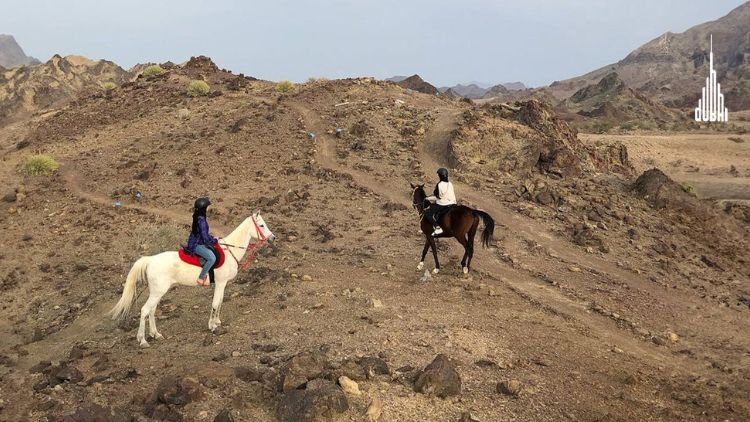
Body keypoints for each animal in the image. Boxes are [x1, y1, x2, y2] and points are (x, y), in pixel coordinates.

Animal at [108, 211, 276, 346]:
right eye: (261, 225)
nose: (273, 238)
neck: (229, 250)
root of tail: (150, 260)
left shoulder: (222, 284)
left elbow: (220, 302)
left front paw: (217, 322)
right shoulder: (220, 283)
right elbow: (216, 303)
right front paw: (212, 326)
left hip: (157, 292)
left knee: (152, 310)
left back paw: (156, 334)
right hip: (157, 292)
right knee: (144, 310)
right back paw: (142, 340)